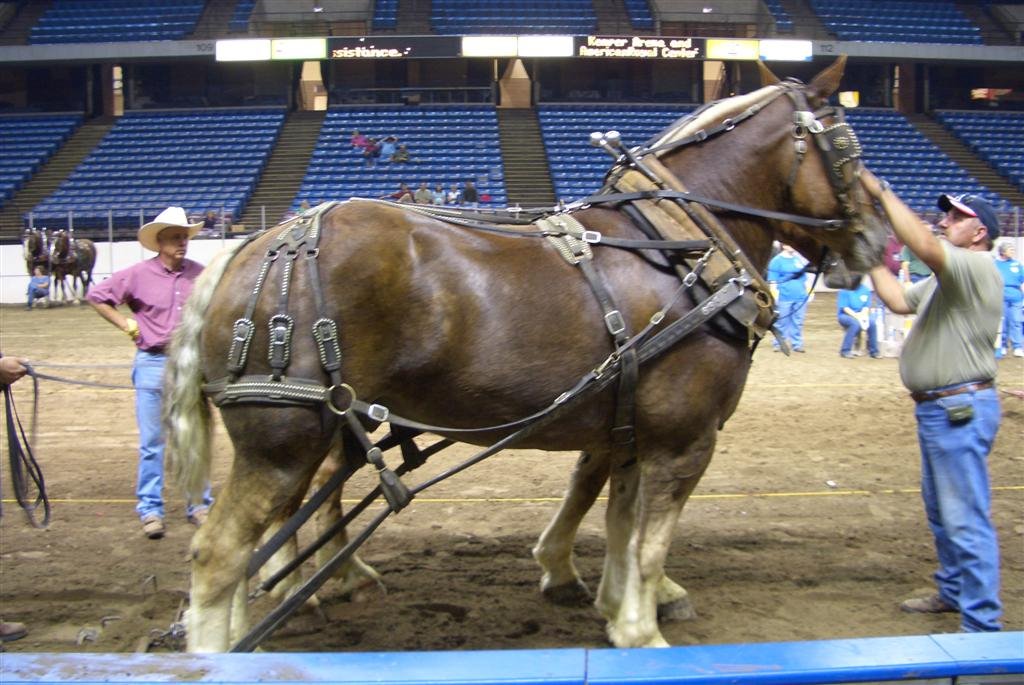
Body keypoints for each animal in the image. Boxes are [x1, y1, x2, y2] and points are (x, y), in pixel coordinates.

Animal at [165, 56, 888, 651]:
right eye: (848, 148)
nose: (878, 239)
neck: (682, 245)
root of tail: (259, 243)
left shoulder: (629, 426)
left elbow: (618, 520)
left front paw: (607, 598)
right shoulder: (684, 438)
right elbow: (649, 540)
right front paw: (641, 629)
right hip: (284, 438)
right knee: (220, 552)